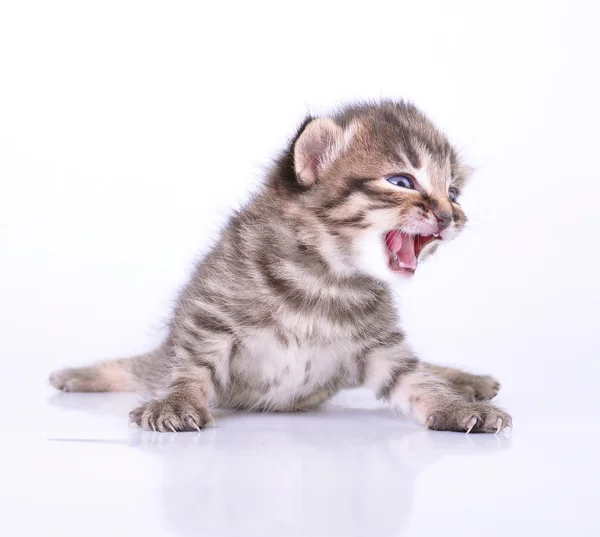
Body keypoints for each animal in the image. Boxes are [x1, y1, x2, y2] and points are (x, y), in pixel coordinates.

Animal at [49, 101, 512, 436]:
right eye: (401, 182)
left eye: (454, 192)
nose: (450, 216)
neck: (325, 278)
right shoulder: (208, 315)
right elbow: (190, 366)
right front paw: (176, 403)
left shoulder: (383, 349)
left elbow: (418, 381)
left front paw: (454, 406)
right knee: (142, 367)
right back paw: (76, 374)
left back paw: (467, 381)